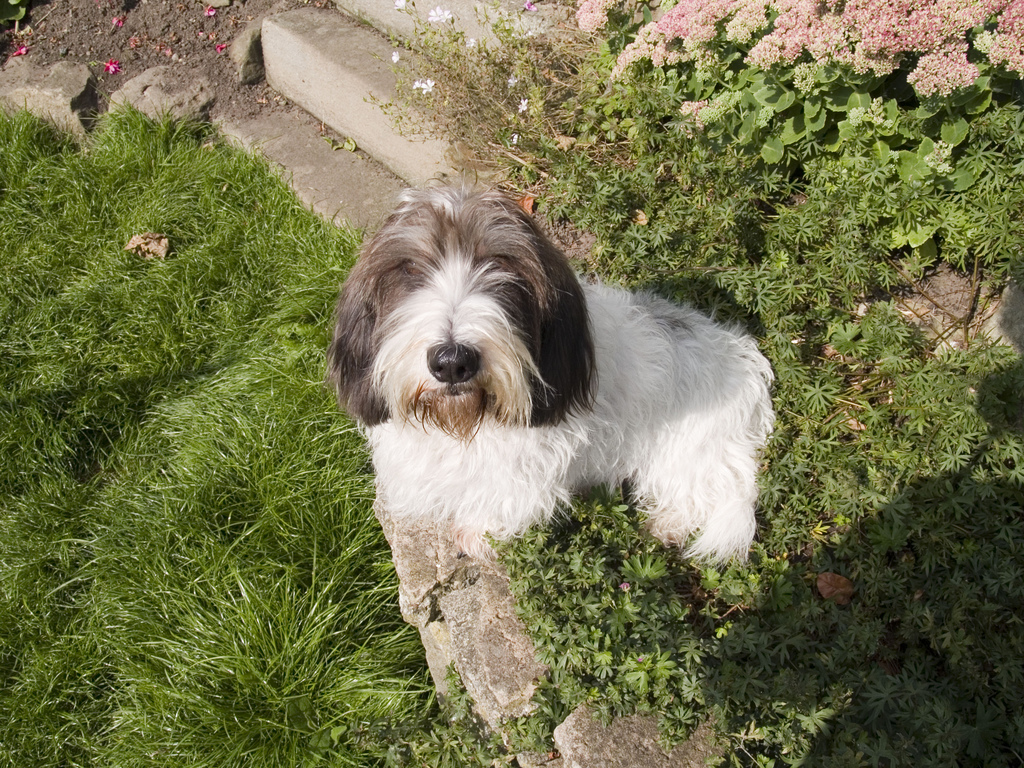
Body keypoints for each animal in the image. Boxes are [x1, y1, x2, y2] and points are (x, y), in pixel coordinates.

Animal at [323, 185, 770, 561]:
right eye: (411, 268)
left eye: (501, 264)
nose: (452, 361)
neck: (468, 420)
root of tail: (748, 363)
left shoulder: (523, 474)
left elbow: (503, 501)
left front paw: (477, 534)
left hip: (691, 452)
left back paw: (668, 524)